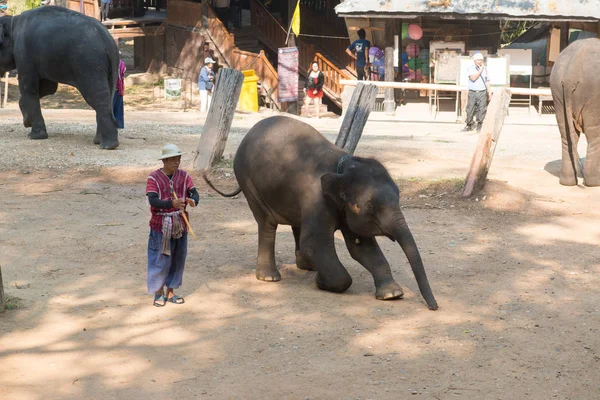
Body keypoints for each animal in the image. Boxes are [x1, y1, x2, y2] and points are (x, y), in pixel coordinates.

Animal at [0, 5, 120, 150]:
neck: (13, 21)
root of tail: (108, 40)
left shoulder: (24, 54)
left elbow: (30, 88)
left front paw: (34, 136)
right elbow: (48, 88)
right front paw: (26, 119)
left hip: (89, 63)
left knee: (96, 97)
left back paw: (107, 145)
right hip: (106, 67)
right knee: (106, 95)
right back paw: (98, 141)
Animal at [204, 115, 438, 310]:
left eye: (398, 197)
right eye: (371, 207)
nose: (433, 307)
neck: (344, 166)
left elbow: (361, 248)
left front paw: (392, 294)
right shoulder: (317, 200)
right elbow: (314, 244)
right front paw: (321, 282)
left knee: (296, 222)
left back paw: (306, 267)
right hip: (249, 183)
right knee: (267, 224)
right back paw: (270, 277)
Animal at [548, 38, 600, 186]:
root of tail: (571, 74)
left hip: (557, 91)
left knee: (565, 134)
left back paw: (567, 182)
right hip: (593, 96)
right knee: (594, 135)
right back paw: (593, 182)